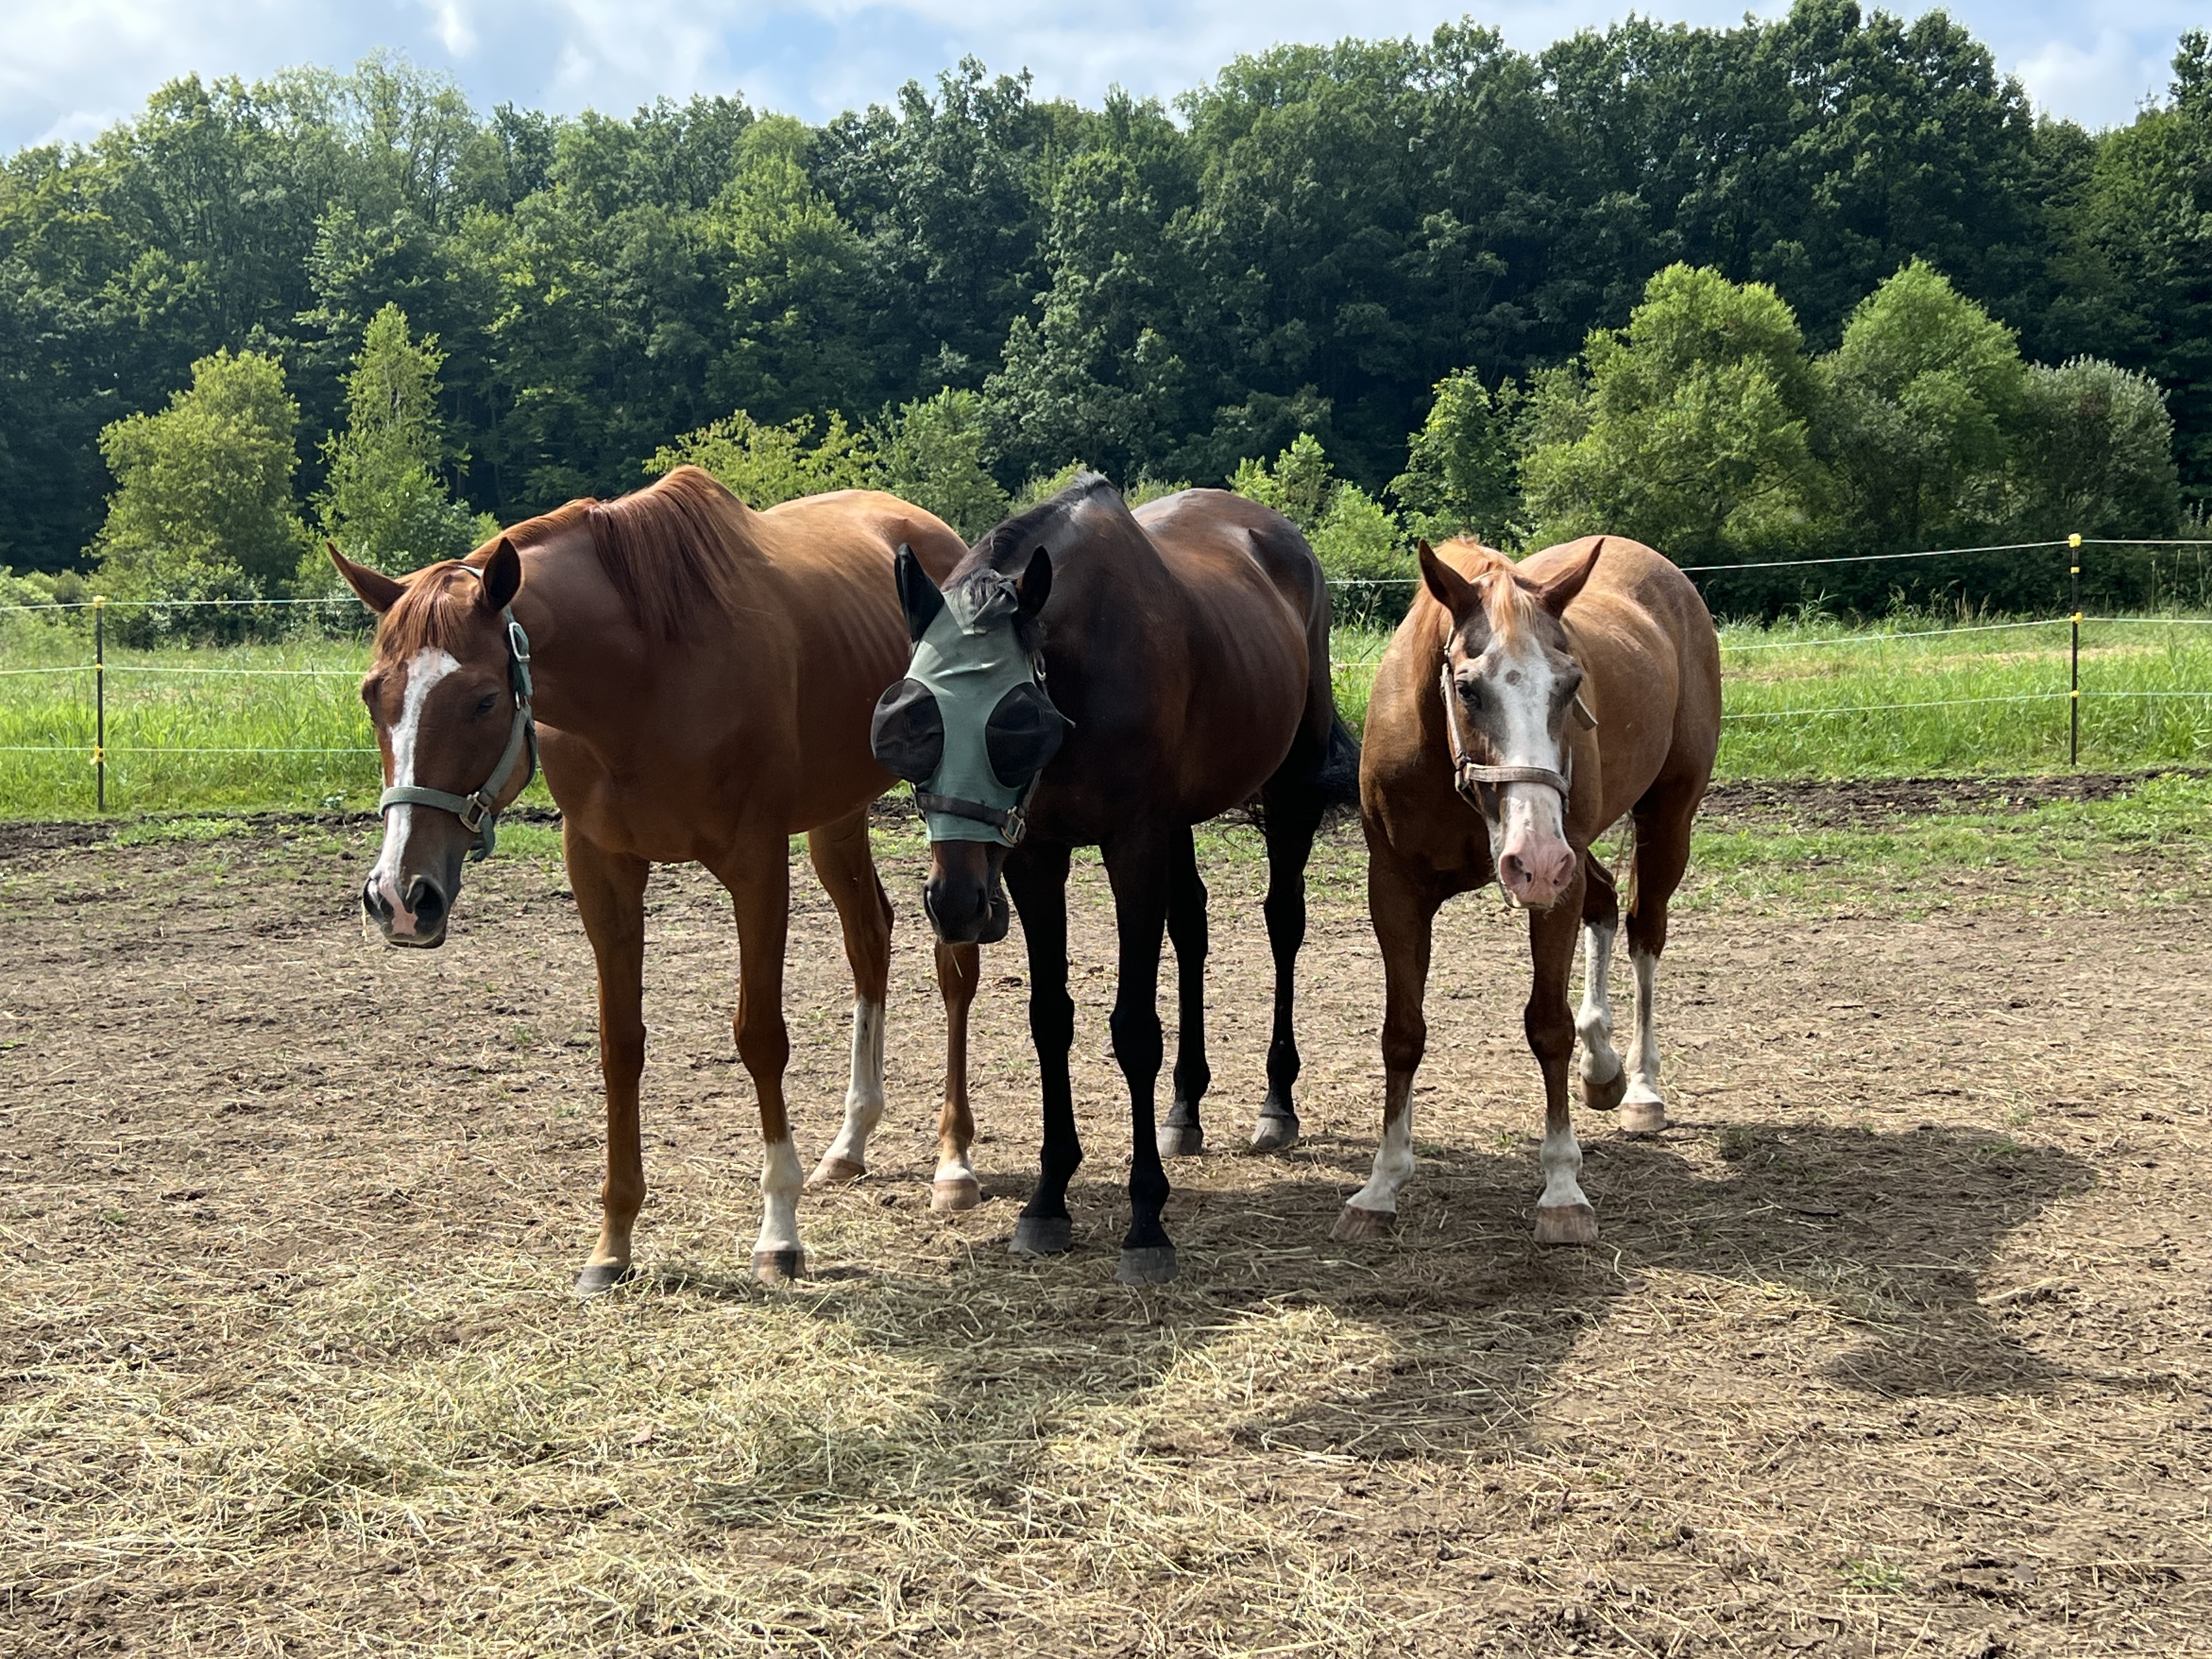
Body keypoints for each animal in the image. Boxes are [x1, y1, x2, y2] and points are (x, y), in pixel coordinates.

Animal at [327, 465, 981, 1292]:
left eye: (483, 699)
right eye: (372, 694)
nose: (400, 898)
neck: (643, 679)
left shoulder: (756, 863)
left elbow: (760, 1036)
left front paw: (779, 1232)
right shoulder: (600, 867)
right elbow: (621, 1044)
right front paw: (612, 1242)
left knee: (955, 964)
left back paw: (954, 1162)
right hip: (837, 817)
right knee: (870, 941)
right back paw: (850, 1143)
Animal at [870, 473, 1359, 1284]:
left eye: (1016, 724)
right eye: (908, 722)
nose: (958, 904)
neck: (1076, 669)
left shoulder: (1131, 846)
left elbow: (1134, 1029)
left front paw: (1145, 1222)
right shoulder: (1037, 856)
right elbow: (1049, 1019)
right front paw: (1047, 1199)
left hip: (1289, 790)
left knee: (1284, 923)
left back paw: (1277, 1102)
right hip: (1179, 823)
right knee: (1191, 929)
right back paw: (1184, 1111)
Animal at [1336, 534, 1720, 1244]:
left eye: (1570, 686)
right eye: (1467, 687)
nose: (1533, 860)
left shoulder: (1553, 891)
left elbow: (1548, 1027)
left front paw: (1562, 1189)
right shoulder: (1395, 890)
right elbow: (1402, 1033)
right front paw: (1381, 1185)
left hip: (1661, 822)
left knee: (1644, 933)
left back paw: (1642, 1088)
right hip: (1576, 853)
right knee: (1604, 903)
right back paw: (1603, 1071)